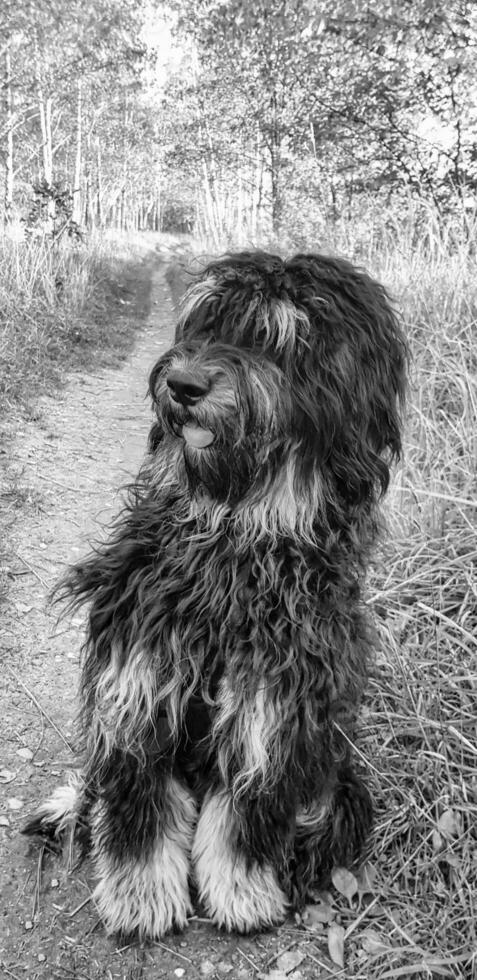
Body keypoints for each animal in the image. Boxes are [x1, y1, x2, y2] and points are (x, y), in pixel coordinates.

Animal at [24, 253, 406, 940]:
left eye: (282, 340)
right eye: (206, 324)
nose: (183, 385)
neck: (235, 538)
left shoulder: (272, 705)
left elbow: (245, 818)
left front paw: (243, 893)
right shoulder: (140, 681)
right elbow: (139, 811)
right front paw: (140, 899)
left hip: (340, 780)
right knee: (96, 790)